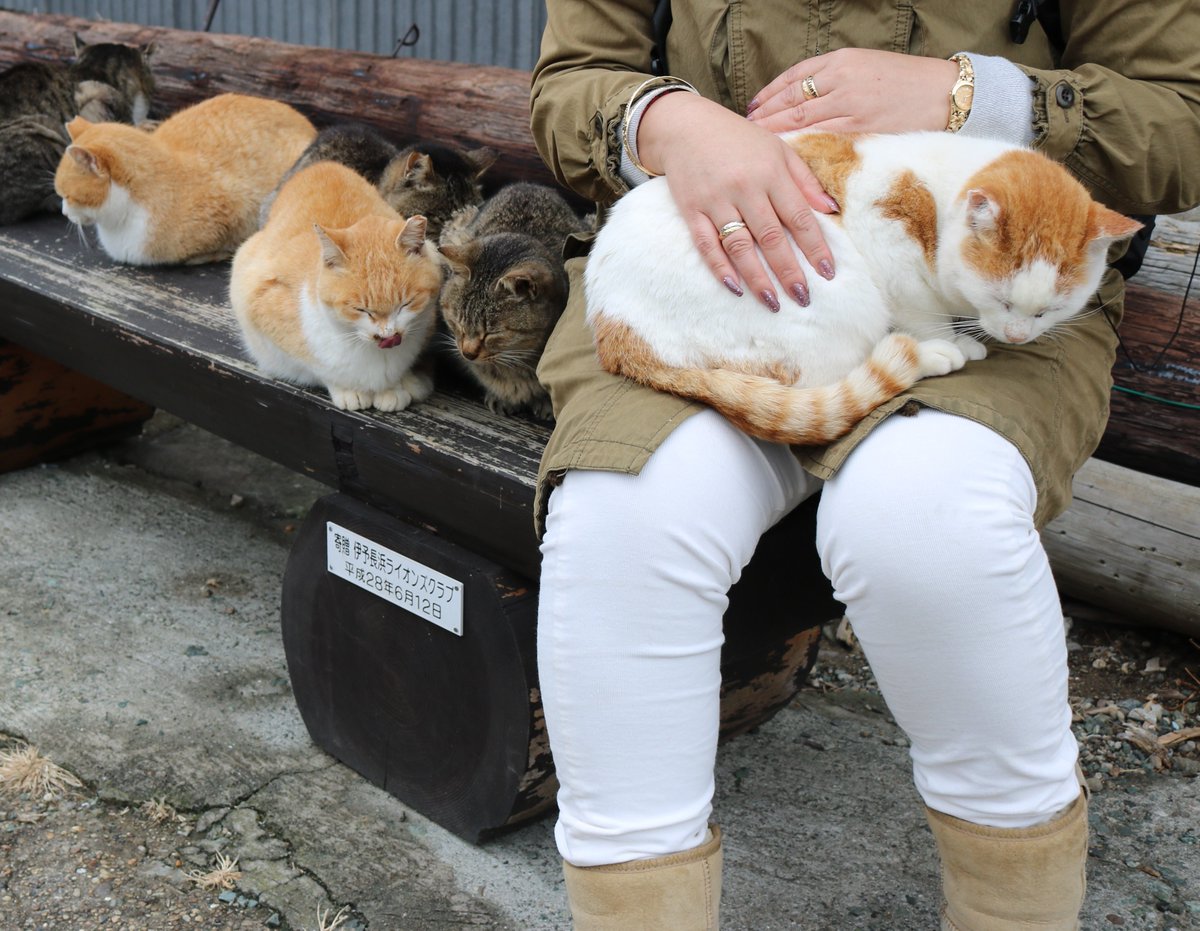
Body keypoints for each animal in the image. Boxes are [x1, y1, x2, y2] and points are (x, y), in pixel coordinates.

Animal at [585, 130, 1137, 446]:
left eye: (1051, 310)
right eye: (1001, 300)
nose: (1019, 336)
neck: (939, 195)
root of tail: (617, 332)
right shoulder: (890, 245)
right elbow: (923, 311)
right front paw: (953, 341)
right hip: (834, 298)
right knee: (830, 380)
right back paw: (933, 356)